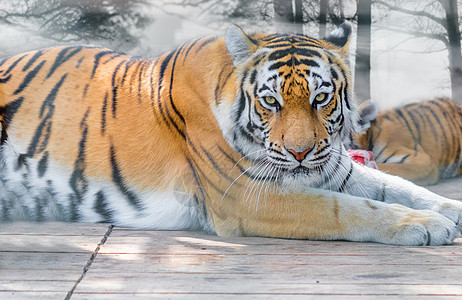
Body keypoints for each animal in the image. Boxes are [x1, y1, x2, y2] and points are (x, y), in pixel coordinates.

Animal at [0, 22, 460, 245]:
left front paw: (446, 210)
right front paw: (426, 225)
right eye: (271, 101)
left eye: (320, 98)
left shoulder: (333, 166)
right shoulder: (246, 196)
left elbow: (396, 187)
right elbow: (346, 209)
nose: (300, 153)